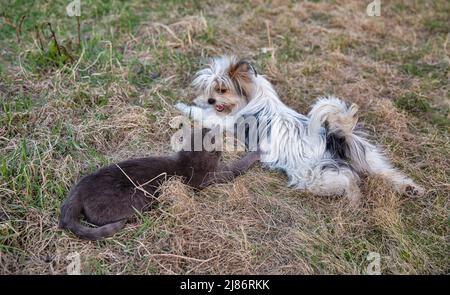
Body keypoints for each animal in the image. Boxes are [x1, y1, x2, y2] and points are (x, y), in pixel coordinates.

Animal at [59, 129, 260, 240]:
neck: (191, 158)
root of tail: (80, 187)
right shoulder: (212, 176)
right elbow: (237, 167)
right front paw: (258, 151)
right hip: (136, 198)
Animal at [177, 56, 426, 204]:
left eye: (222, 89)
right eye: (210, 89)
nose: (210, 99)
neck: (256, 97)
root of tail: (333, 138)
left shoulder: (226, 121)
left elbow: (202, 115)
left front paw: (183, 106)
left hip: (314, 177)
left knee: (348, 180)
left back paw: (353, 197)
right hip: (366, 155)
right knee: (387, 172)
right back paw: (409, 188)